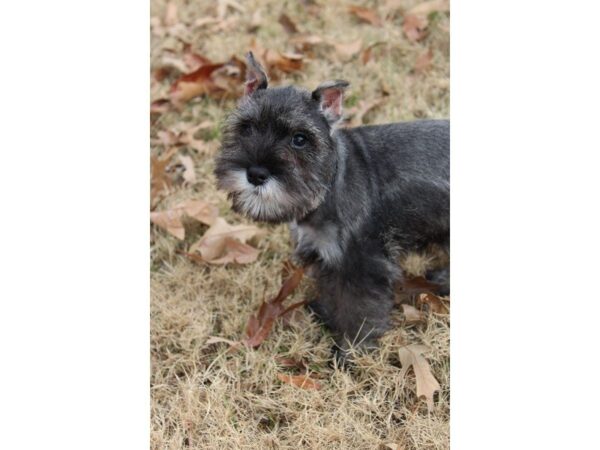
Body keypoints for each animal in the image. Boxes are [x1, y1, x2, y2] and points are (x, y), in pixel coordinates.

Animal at [213, 51, 448, 356]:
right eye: (247, 127)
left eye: (300, 139)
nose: (256, 174)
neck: (329, 185)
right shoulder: (325, 254)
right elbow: (331, 290)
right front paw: (325, 314)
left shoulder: (362, 264)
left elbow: (359, 307)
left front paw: (352, 349)